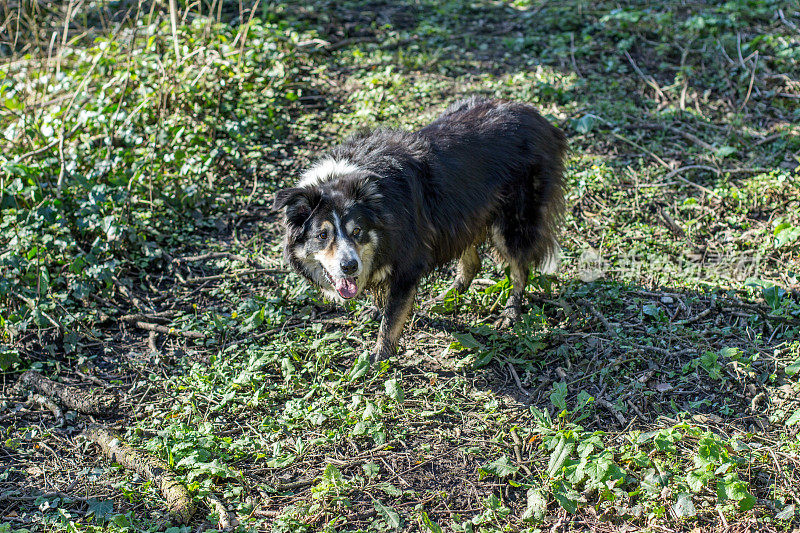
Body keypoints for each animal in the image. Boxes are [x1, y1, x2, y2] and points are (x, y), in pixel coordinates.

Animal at [276, 96, 568, 362]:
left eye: (357, 231)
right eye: (322, 235)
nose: (349, 267)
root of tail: (540, 119)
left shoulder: (409, 256)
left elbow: (393, 315)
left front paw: (378, 356)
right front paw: (375, 310)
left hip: (513, 218)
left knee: (520, 266)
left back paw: (510, 313)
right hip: (463, 215)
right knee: (472, 261)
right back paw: (444, 299)